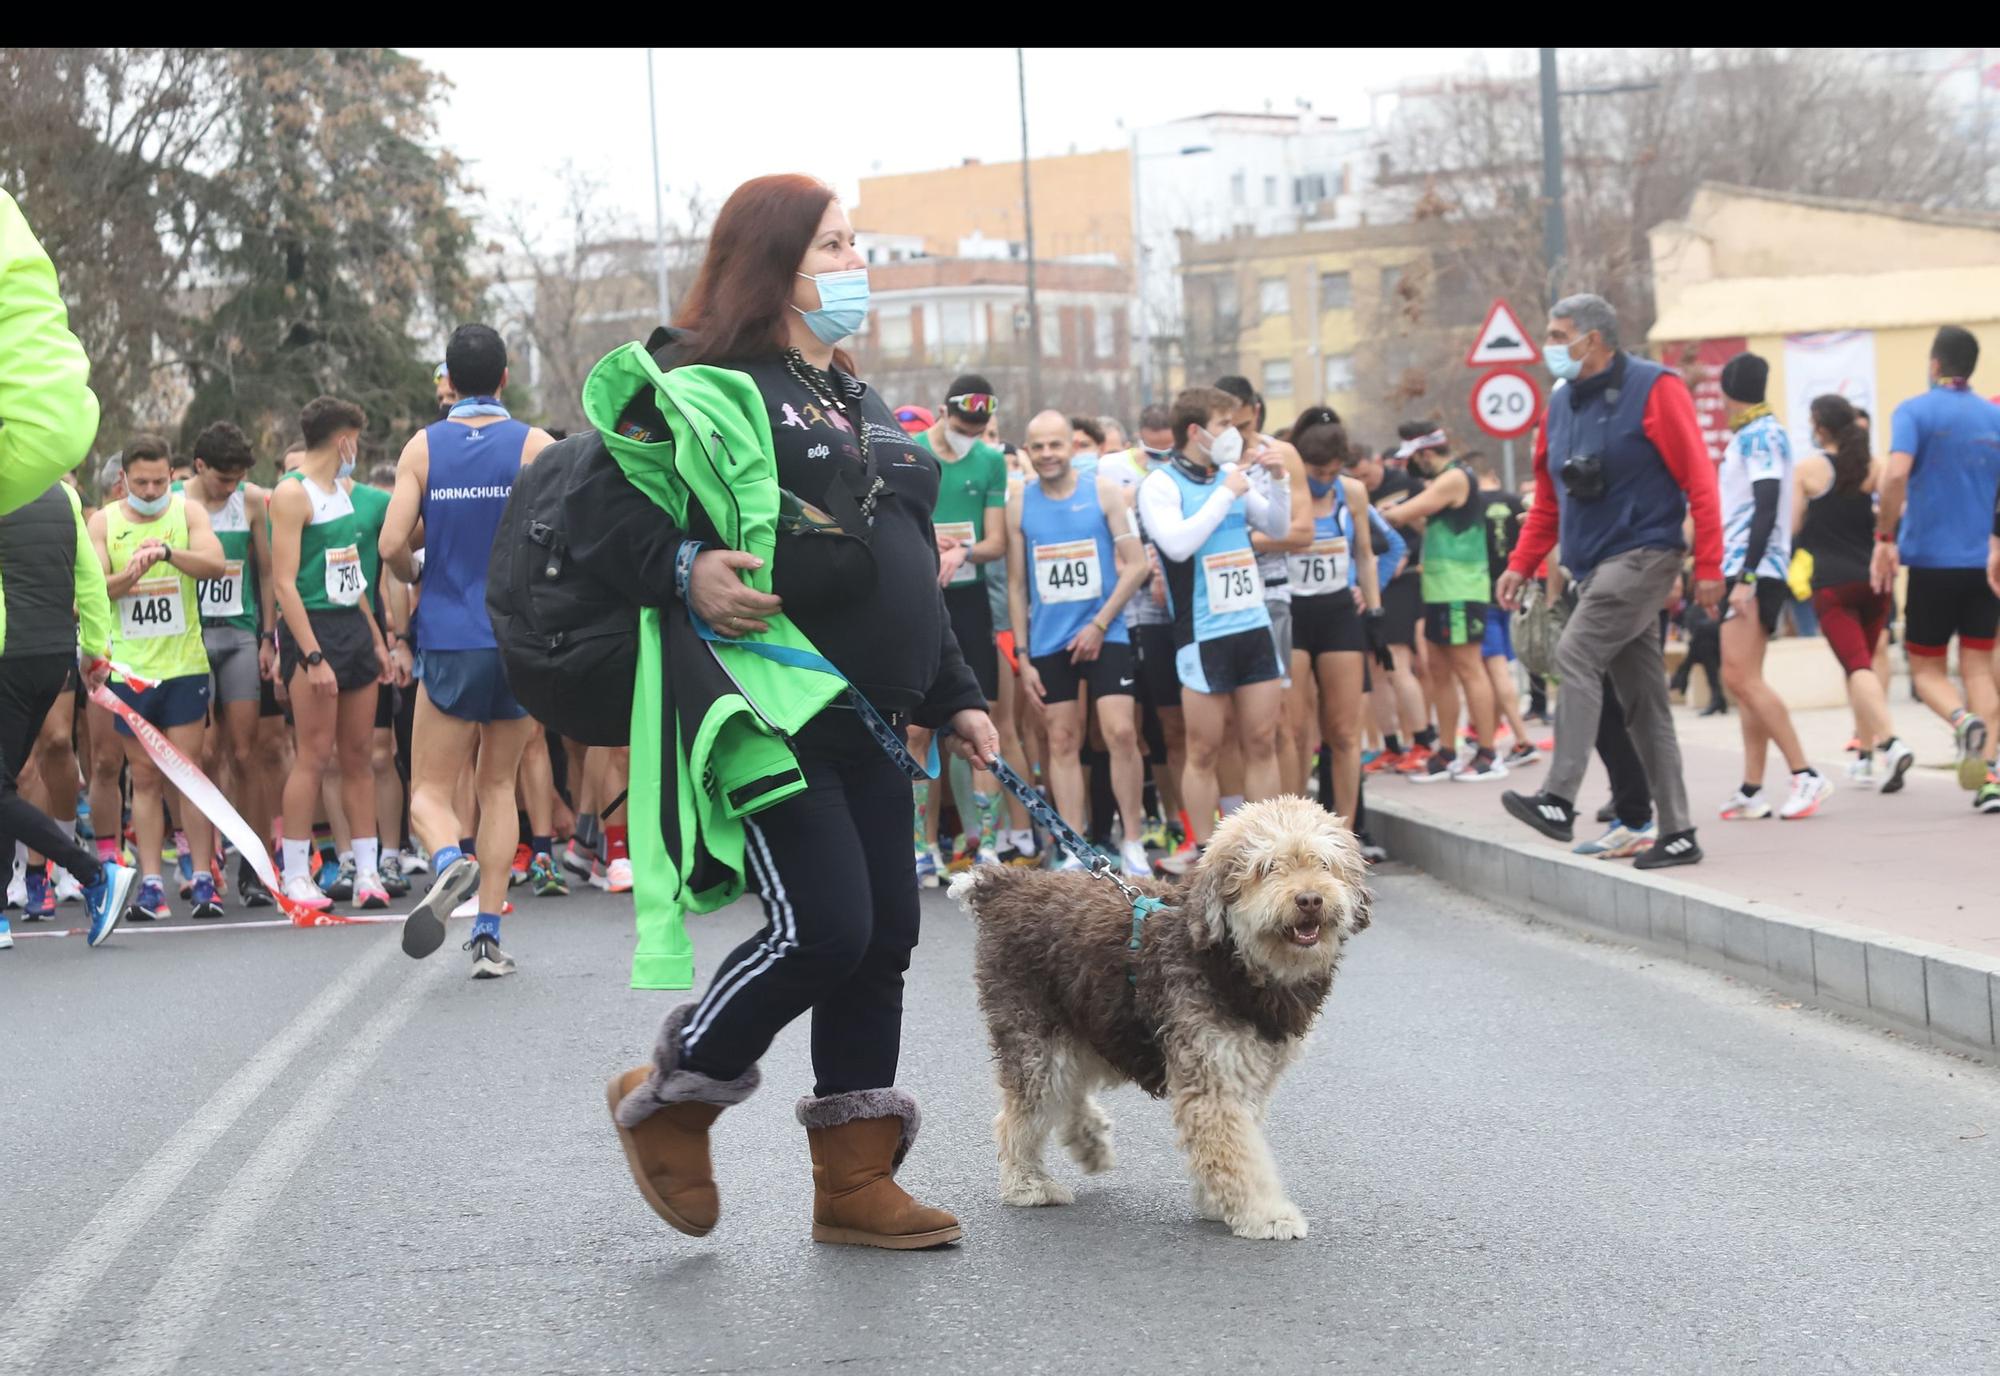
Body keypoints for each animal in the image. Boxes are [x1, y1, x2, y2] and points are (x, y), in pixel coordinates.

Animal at [944, 792, 1368, 1240]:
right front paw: (1265, 1213)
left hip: (1092, 1019)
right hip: (1036, 1035)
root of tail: (1005, 886)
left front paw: (1219, 1200)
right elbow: (1239, 1153)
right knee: (1021, 1113)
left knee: (1068, 1089)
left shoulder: (1245, 1072)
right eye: (1267, 868)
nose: (1309, 900)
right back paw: (1028, 1183)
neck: (1232, 960)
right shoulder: (1213, 1079)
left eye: (1324, 864)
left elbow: (1230, 1147)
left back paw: (1089, 1142)